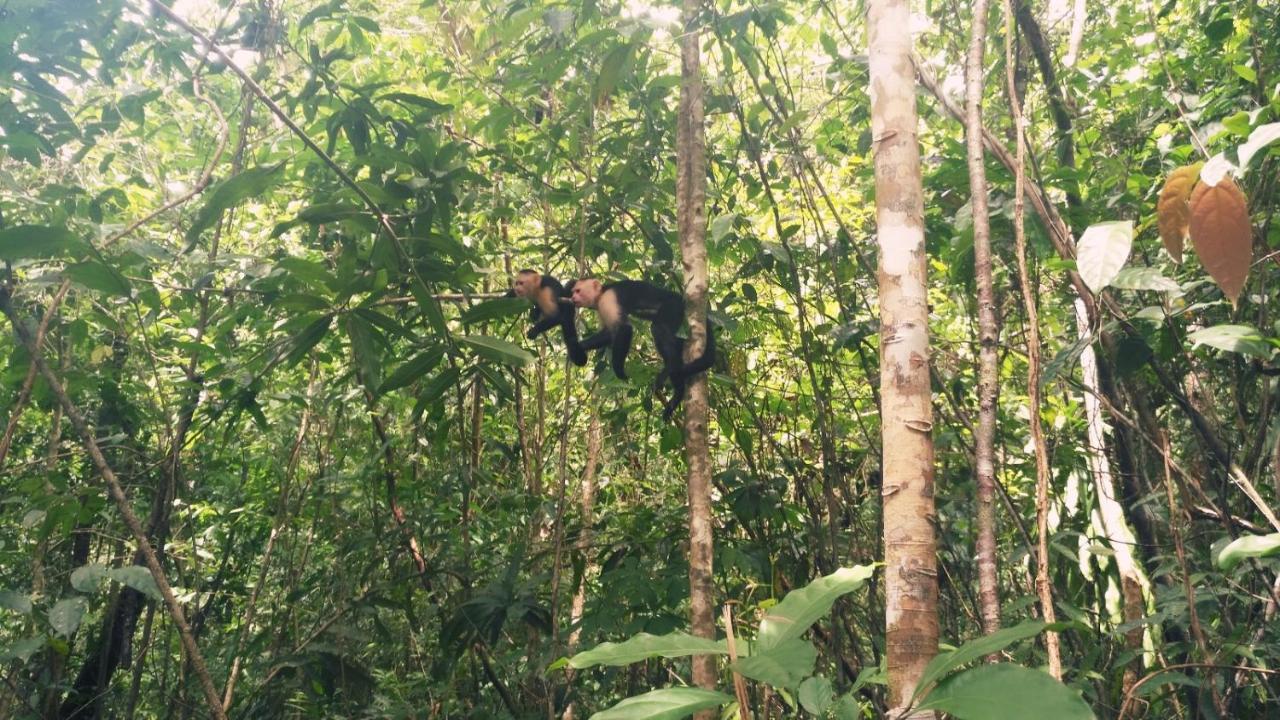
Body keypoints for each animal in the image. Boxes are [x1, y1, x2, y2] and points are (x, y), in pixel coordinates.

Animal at [568, 278, 716, 417]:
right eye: (573, 292)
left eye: (578, 291)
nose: (573, 298)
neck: (602, 293)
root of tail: (679, 297)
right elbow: (609, 334)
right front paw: (576, 348)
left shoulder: (607, 300)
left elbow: (624, 329)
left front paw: (619, 371)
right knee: (673, 338)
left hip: (674, 306)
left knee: (658, 328)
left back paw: (674, 375)